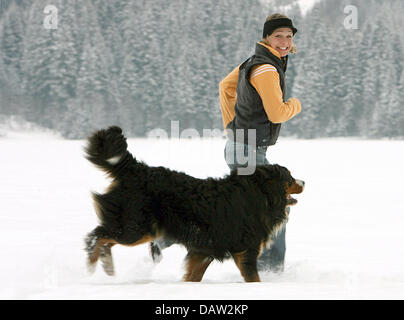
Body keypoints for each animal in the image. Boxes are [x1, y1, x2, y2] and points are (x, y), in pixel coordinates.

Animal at [84, 126, 304, 282]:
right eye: (290, 178)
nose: (304, 182)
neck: (261, 194)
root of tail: (136, 169)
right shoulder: (246, 250)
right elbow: (253, 278)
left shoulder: (203, 250)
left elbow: (193, 276)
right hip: (137, 227)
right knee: (98, 235)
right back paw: (95, 265)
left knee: (105, 238)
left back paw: (107, 266)